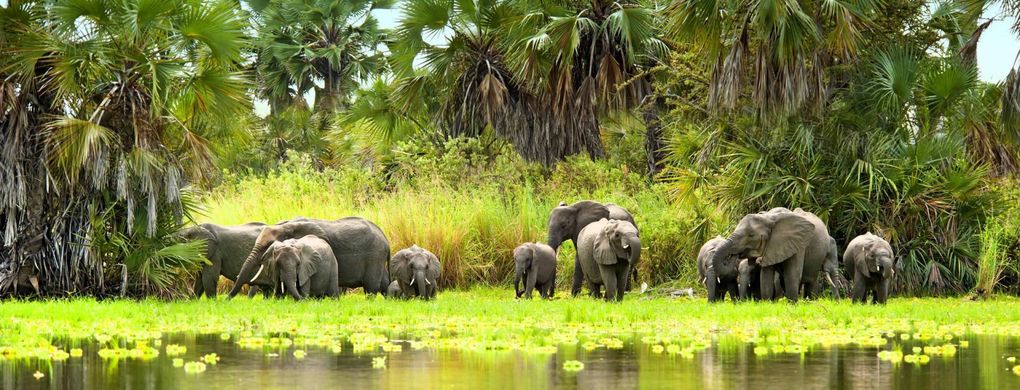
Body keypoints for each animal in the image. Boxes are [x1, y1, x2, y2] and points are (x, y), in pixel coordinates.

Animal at [228, 217, 389, 296]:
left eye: (268, 245)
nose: (226, 300)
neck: (286, 225)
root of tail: (385, 238)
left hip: (375, 256)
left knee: (371, 288)